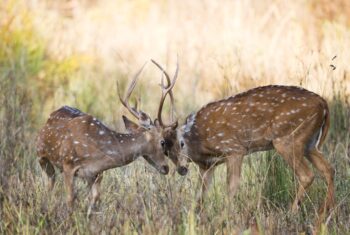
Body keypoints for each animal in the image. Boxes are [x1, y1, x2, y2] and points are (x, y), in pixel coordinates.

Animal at [35, 63, 174, 216]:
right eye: (162, 142)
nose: (166, 168)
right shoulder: (68, 164)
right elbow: (70, 199)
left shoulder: (96, 174)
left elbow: (95, 200)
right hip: (42, 156)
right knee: (48, 185)